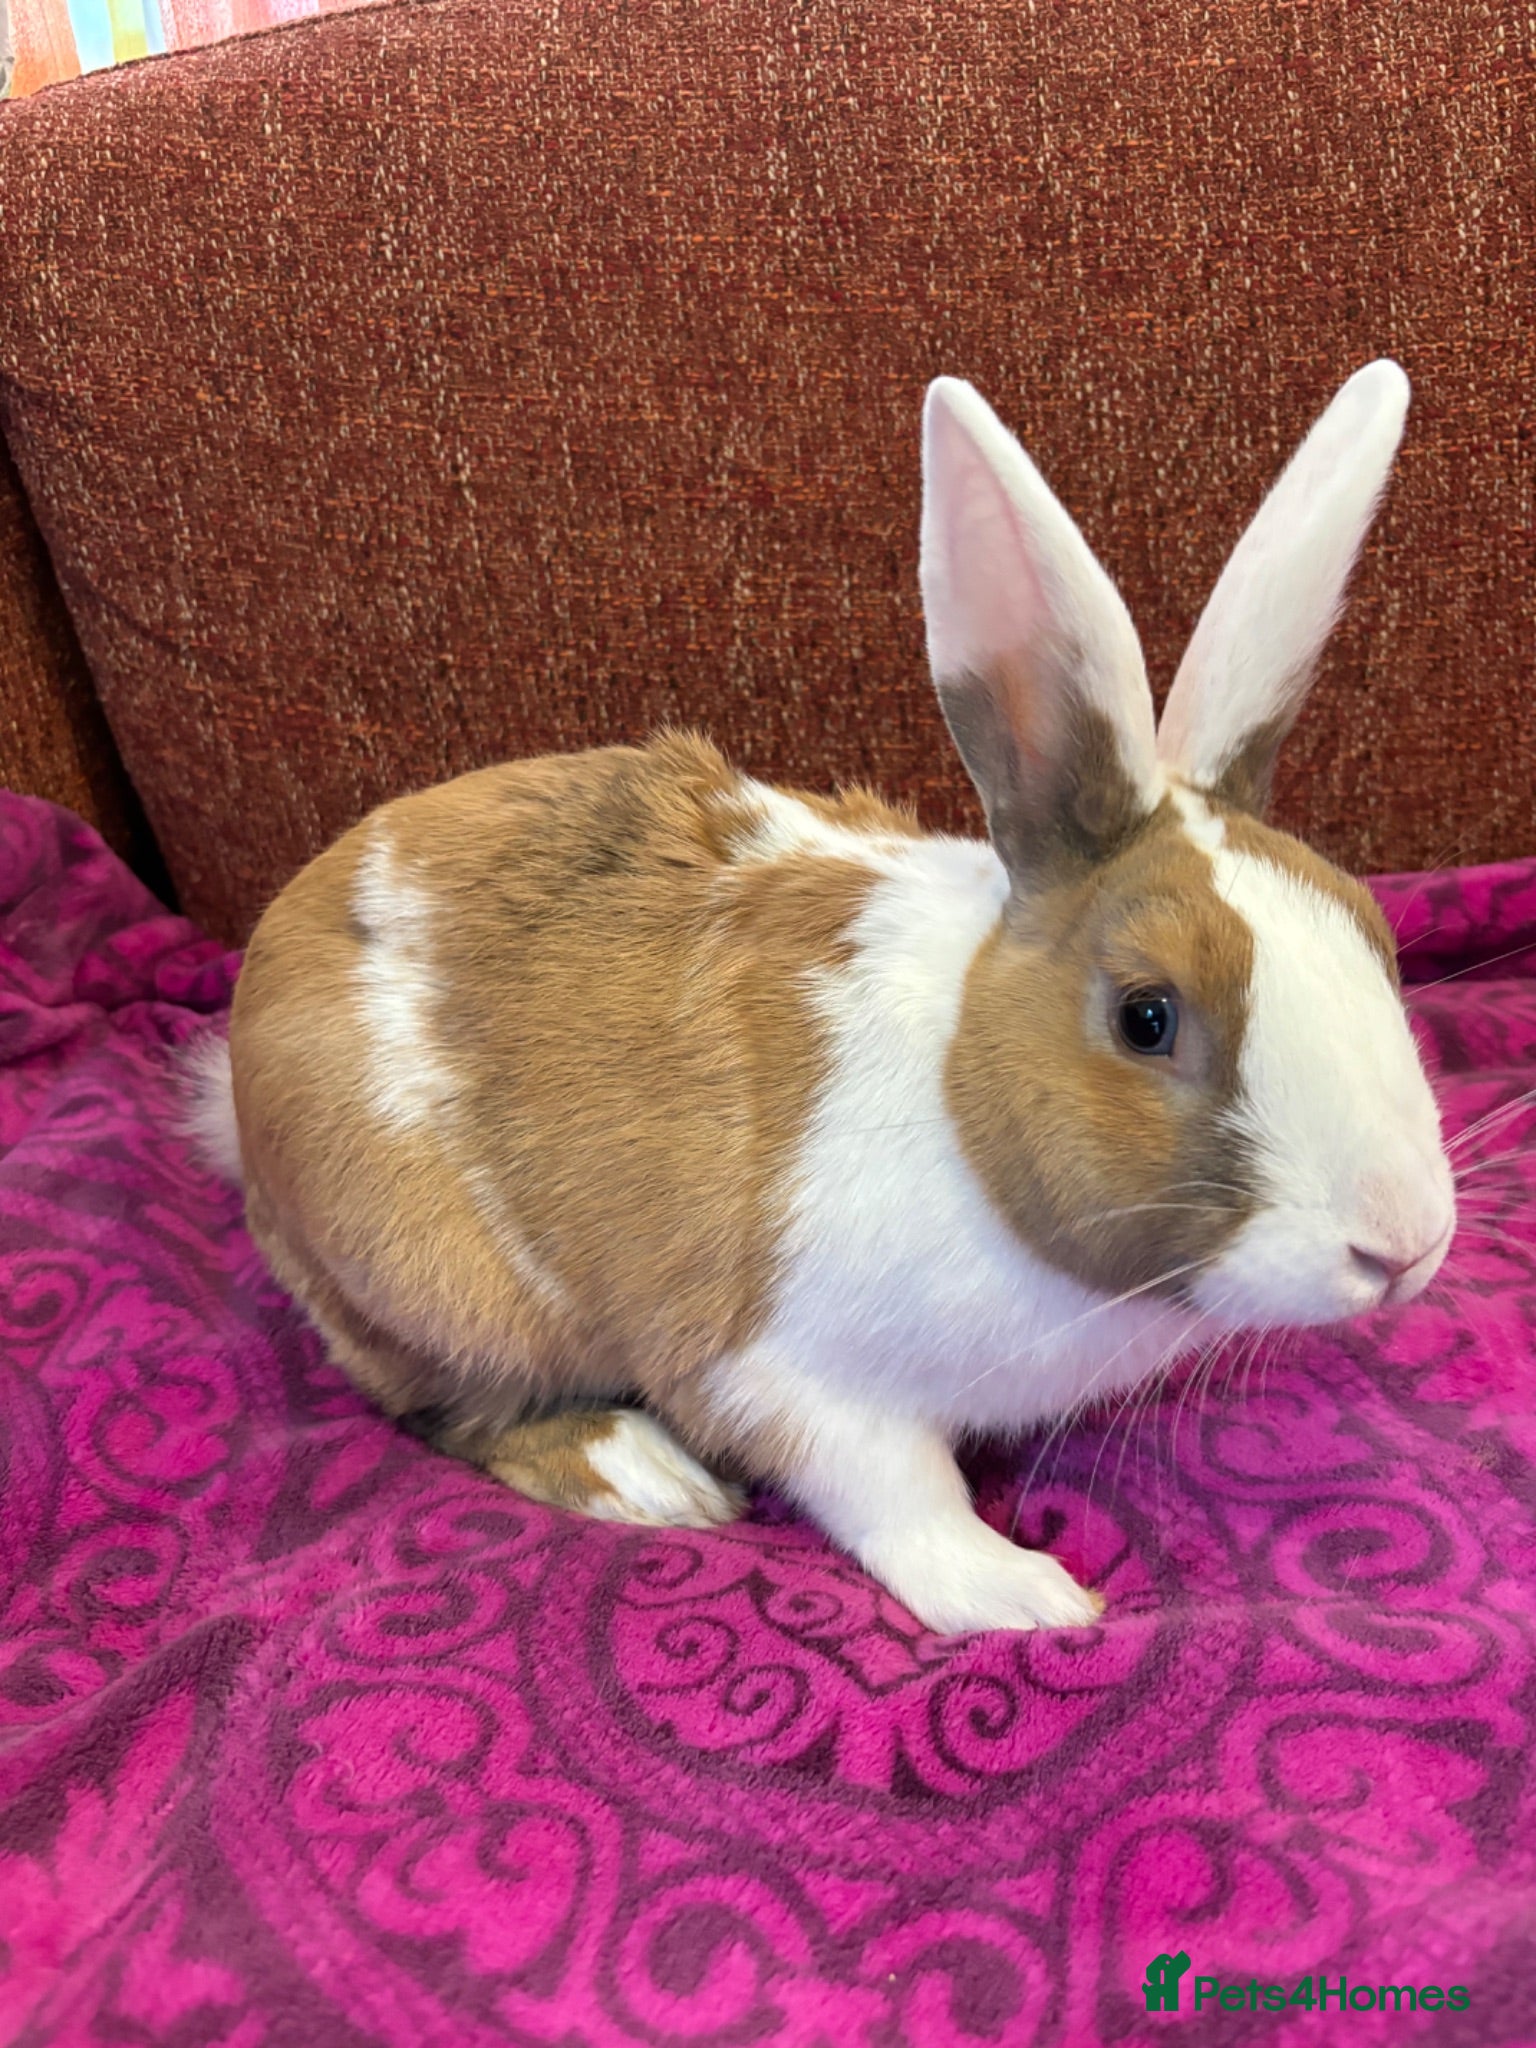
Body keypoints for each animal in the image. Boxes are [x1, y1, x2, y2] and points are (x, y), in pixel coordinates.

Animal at [206, 360, 1455, 1635]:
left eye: (1374, 932)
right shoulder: (785, 1372)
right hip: (434, 1284)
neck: (962, 1098)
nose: (1404, 1244)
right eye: (1145, 1017)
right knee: (452, 1407)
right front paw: (1023, 1594)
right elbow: (898, 1492)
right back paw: (644, 1476)